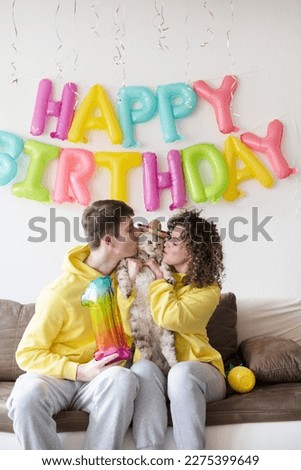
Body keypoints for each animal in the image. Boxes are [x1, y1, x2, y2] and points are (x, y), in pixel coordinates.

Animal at [114, 219, 176, 374]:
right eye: (149, 241)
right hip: (139, 333)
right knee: (146, 354)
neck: (147, 257)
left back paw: (175, 364)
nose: (155, 247)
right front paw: (126, 291)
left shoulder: (162, 261)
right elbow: (124, 278)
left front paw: (170, 279)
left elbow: (166, 269)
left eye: (158, 243)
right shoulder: (122, 265)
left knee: (169, 352)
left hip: (166, 334)